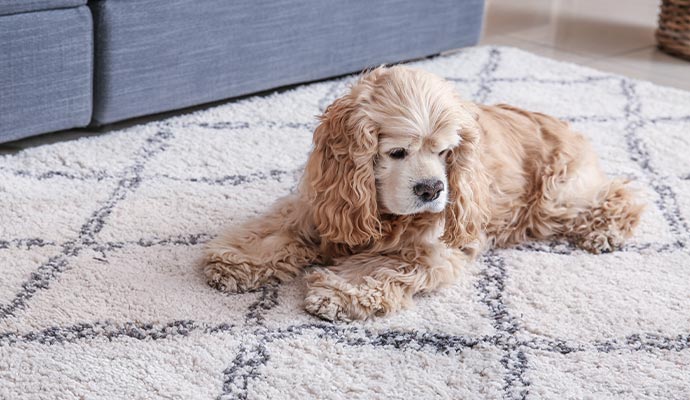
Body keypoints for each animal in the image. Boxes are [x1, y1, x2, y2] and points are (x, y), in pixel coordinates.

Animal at [199, 65, 640, 322]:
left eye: (446, 152)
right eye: (397, 152)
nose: (431, 189)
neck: (380, 209)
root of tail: (570, 126)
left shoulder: (430, 250)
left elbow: (381, 267)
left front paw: (339, 293)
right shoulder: (321, 207)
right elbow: (275, 231)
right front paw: (236, 261)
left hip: (556, 198)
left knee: (621, 192)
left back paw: (604, 231)